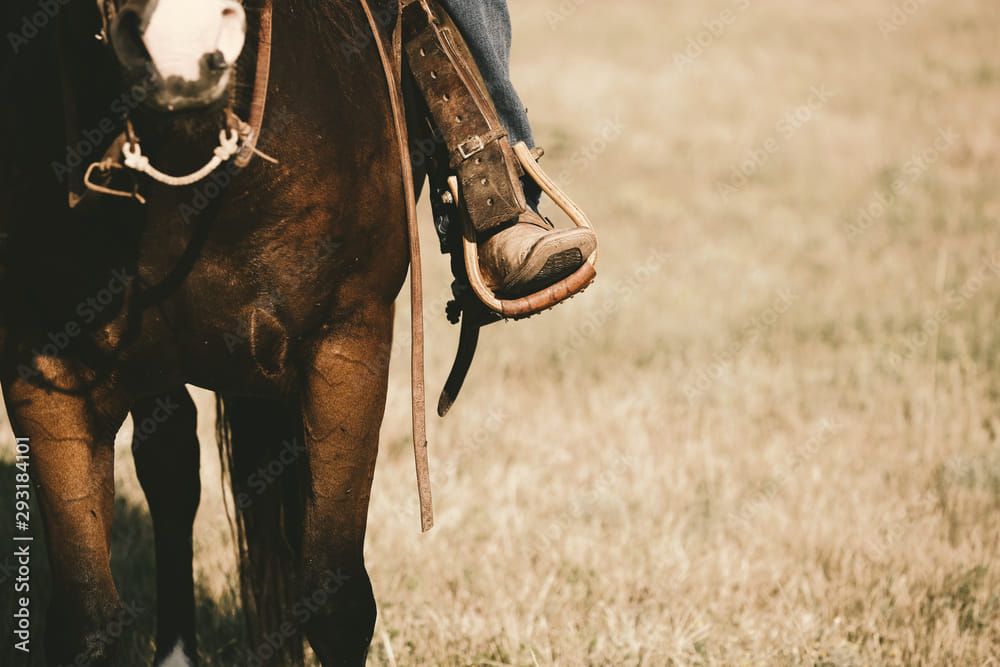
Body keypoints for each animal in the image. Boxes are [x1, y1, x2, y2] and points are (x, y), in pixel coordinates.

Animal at [0, 0, 414, 664]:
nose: (182, 50)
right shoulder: (45, 373)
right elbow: (87, 619)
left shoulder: (348, 343)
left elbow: (337, 602)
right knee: (171, 472)